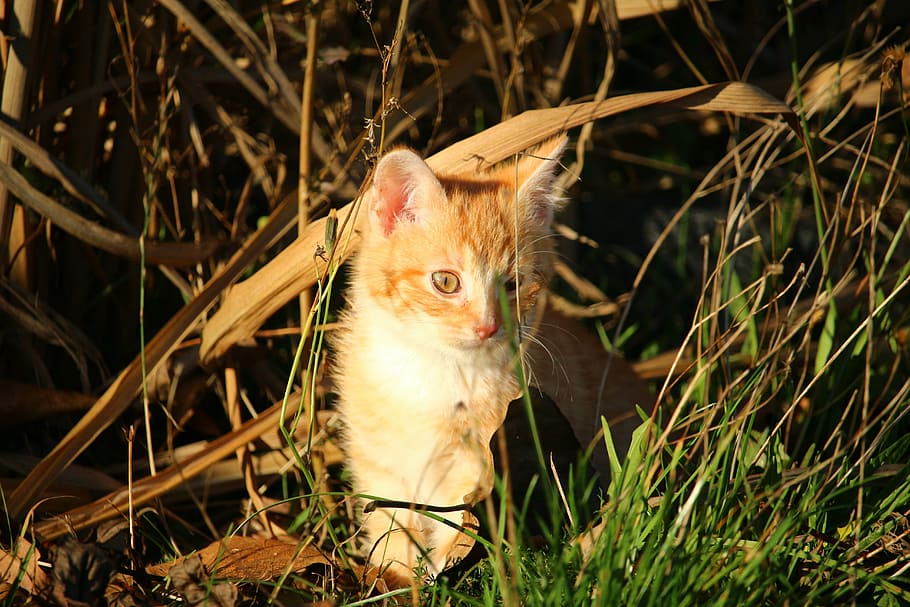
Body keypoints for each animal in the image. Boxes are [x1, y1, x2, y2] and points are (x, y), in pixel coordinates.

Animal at [332, 137, 568, 580]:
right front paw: (397, 578)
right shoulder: (380, 463)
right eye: (445, 281)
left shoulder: (479, 464)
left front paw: (442, 574)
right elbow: (390, 526)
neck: (437, 371)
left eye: (512, 285)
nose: (488, 326)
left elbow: (460, 530)